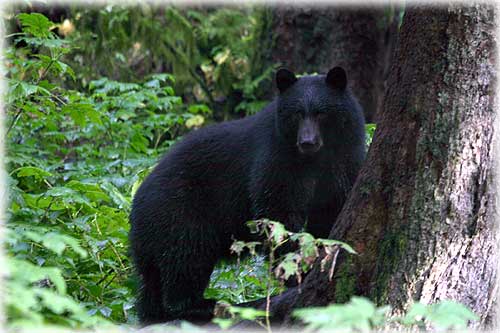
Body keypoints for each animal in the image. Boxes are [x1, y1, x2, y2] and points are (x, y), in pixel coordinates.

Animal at [129, 66, 364, 322]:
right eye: (297, 114)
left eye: (322, 113)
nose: (307, 142)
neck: (314, 159)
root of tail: (136, 205)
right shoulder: (276, 158)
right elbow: (277, 214)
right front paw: (294, 272)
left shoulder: (343, 158)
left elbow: (331, 208)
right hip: (179, 212)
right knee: (185, 257)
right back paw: (200, 305)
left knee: (152, 283)